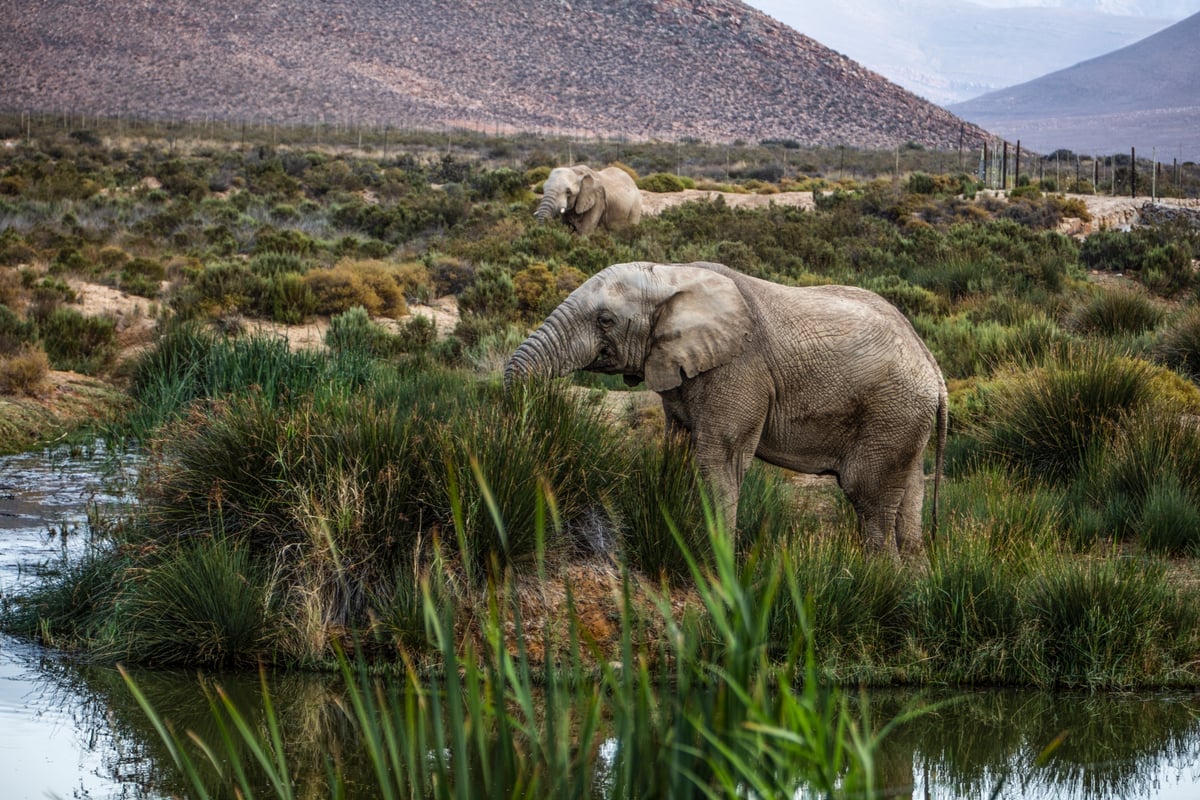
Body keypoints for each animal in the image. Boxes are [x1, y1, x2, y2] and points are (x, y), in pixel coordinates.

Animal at [504, 261, 948, 560]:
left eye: (605, 320)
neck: (672, 276)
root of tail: (935, 368)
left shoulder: (738, 369)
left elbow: (719, 461)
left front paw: (716, 562)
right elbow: (678, 451)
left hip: (892, 412)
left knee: (868, 500)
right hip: (904, 421)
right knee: (908, 503)